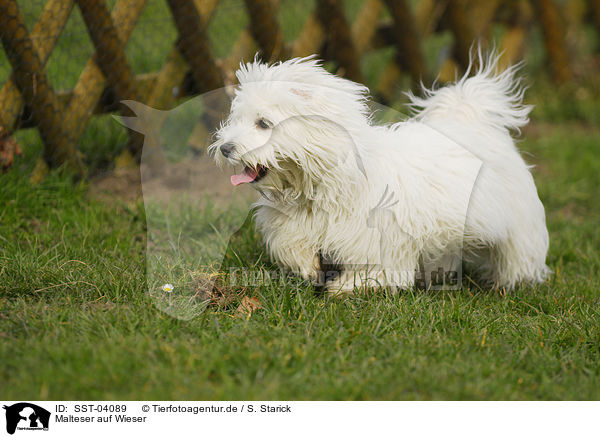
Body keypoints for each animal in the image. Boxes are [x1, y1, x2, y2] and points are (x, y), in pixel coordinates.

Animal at [209, 52, 552, 292]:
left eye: (263, 123)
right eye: (237, 119)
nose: (225, 148)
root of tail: (475, 122)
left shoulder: (382, 237)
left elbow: (379, 270)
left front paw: (345, 287)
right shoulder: (292, 223)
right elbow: (291, 245)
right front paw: (309, 269)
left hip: (518, 223)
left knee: (518, 253)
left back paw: (511, 282)